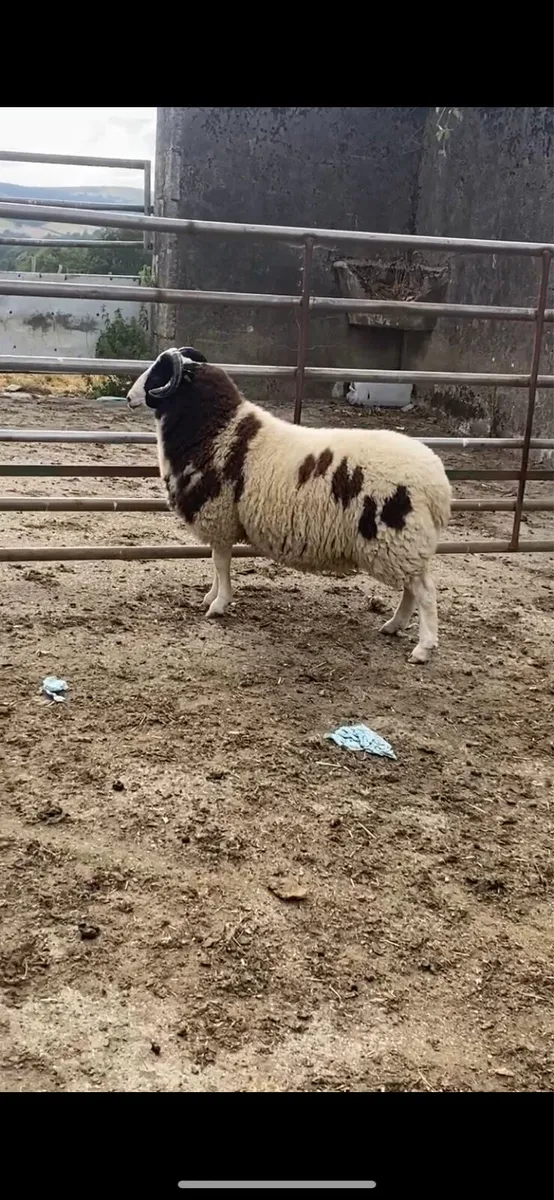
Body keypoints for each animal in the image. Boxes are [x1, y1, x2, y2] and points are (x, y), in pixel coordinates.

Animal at [127, 347, 451, 663]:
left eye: (159, 372)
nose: (129, 397)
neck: (220, 429)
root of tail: (438, 486)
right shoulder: (222, 524)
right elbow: (217, 563)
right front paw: (212, 596)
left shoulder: (219, 516)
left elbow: (221, 563)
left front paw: (218, 604)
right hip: (403, 546)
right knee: (411, 589)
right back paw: (394, 625)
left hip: (398, 539)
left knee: (424, 591)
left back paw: (423, 648)